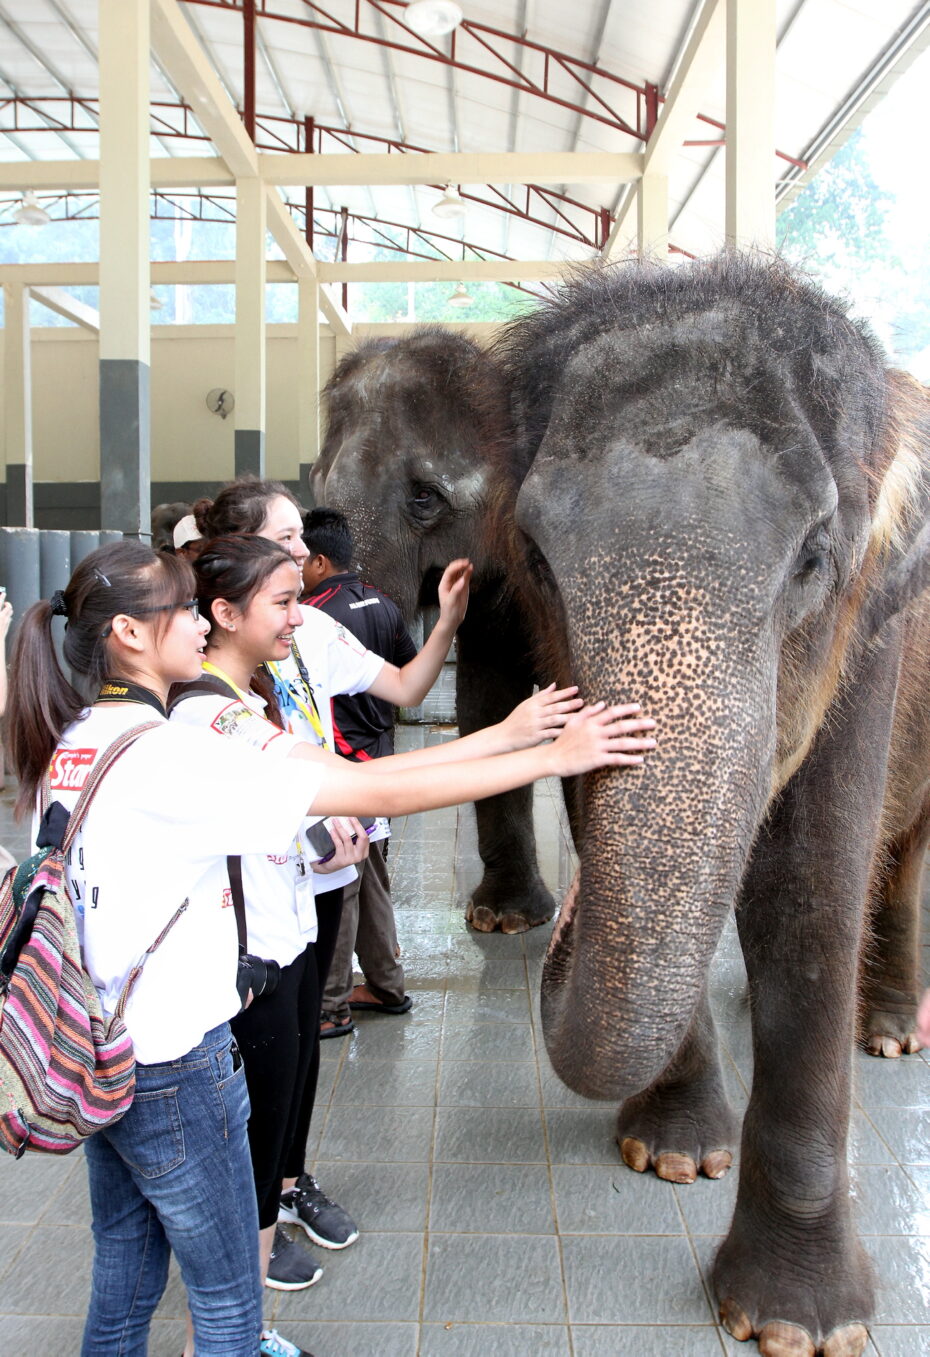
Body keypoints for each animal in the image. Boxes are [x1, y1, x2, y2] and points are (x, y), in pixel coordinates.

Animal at [497, 254, 930, 1356]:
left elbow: (811, 885)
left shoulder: (870, 633)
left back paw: (891, 1032)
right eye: (536, 558)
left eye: (814, 558)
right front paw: (677, 1156)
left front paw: (796, 1323)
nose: (557, 931)